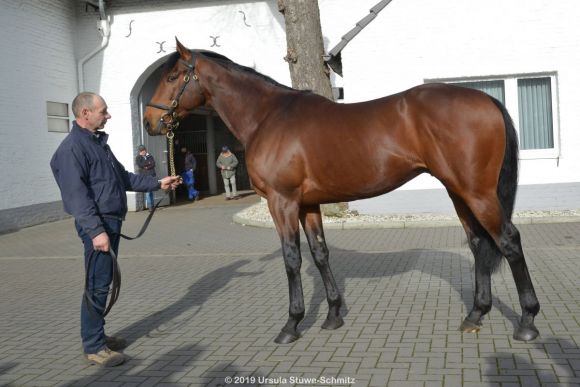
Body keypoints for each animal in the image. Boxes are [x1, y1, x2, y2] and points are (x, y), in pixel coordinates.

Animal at [144, 38, 540, 344]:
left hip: (477, 193)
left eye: (173, 76)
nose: (149, 121)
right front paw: (333, 315)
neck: (268, 117)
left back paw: (527, 322)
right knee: (478, 243)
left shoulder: (282, 203)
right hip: (459, 192)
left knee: (508, 240)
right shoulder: (308, 205)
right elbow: (320, 254)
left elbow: (292, 259)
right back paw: (475, 315)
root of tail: (486, 100)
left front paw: (291, 324)